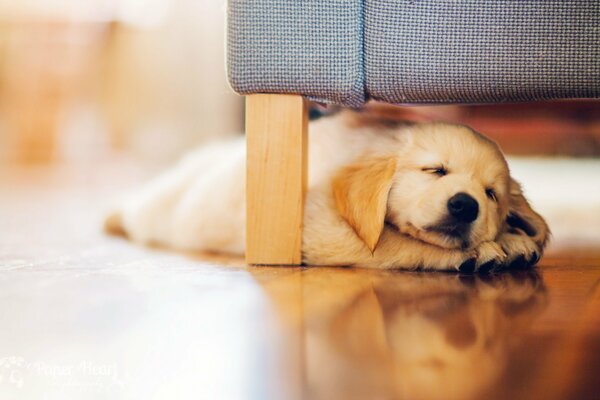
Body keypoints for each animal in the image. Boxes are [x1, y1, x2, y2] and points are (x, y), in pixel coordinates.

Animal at [104, 109, 548, 272]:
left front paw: (513, 238)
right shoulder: (318, 227)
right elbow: (397, 242)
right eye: (435, 170)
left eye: (491, 194)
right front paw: (487, 249)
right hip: (159, 207)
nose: (464, 206)